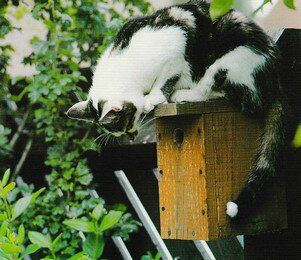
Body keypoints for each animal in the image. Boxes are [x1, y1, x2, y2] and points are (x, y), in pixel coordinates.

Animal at [67, 0, 288, 219]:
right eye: (122, 130)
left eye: (127, 123)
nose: (132, 136)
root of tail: (275, 84)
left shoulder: (176, 46)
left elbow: (165, 77)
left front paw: (153, 97)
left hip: (230, 55)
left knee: (236, 96)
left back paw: (184, 94)